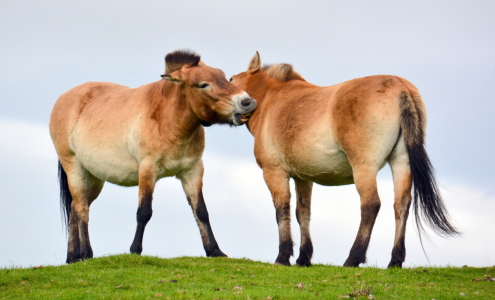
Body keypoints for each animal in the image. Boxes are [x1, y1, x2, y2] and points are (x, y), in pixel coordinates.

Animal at [49, 49, 260, 262]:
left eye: (225, 78)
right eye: (203, 84)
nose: (247, 102)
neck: (169, 120)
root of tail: (64, 98)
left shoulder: (192, 171)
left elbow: (201, 211)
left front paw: (215, 251)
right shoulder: (148, 170)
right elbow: (144, 212)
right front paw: (135, 249)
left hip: (93, 177)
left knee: (75, 207)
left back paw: (73, 257)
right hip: (74, 168)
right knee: (82, 208)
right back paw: (86, 253)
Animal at [231, 51, 460, 268]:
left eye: (231, 79)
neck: (272, 98)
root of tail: (401, 88)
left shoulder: (274, 172)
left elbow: (282, 209)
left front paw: (283, 256)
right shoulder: (303, 177)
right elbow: (303, 212)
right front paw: (303, 257)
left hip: (364, 167)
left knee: (370, 204)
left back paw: (353, 257)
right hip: (401, 163)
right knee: (401, 204)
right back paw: (394, 260)